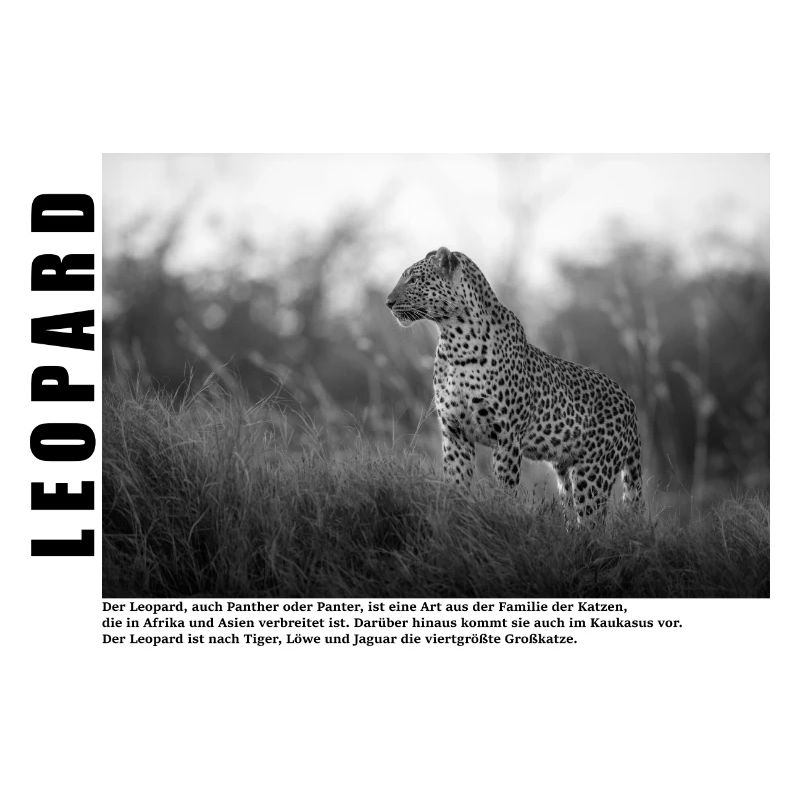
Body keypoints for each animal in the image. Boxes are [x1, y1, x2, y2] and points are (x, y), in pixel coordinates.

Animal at [386, 246, 643, 523]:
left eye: (413, 279)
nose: (388, 302)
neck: (455, 341)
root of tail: (630, 403)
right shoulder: (454, 432)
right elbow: (456, 484)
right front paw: (455, 514)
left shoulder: (507, 436)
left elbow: (505, 489)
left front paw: (500, 516)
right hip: (566, 472)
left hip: (593, 472)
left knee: (592, 522)